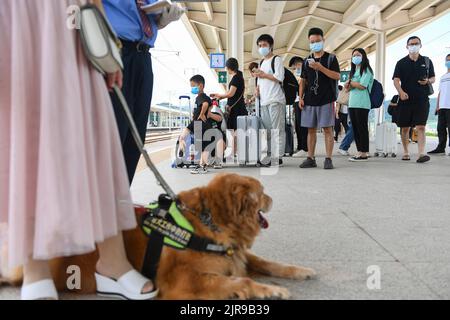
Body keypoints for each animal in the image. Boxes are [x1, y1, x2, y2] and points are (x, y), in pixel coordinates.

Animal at [0, 174, 316, 298]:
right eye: (263, 192)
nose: (271, 199)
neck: (210, 220)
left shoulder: (236, 254)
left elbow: (268, 263)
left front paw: (299, 271)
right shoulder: (181, 279)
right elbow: (241, 280)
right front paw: (271, 290)